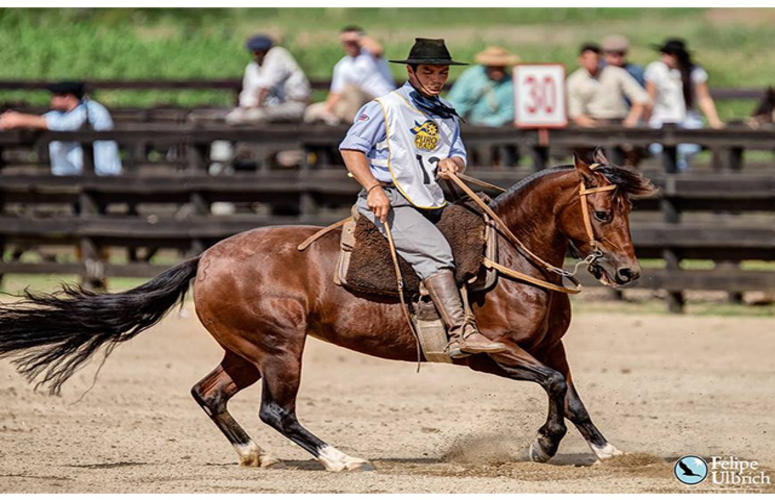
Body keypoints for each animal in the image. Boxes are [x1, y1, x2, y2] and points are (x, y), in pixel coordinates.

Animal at [0, 151, 656, 472]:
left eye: (630, 211)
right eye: (602, 213)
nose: (627, 273)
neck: (508, 252)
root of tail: (206, 256)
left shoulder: (549, 345)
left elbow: (570, 393)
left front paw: (607, 452)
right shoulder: (487, 355)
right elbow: (552, 388)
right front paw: (543, 445)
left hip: (247, 352)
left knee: (209, 393)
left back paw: (251, 456)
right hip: (281, 349)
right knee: (276, 410)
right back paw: (341, 459)